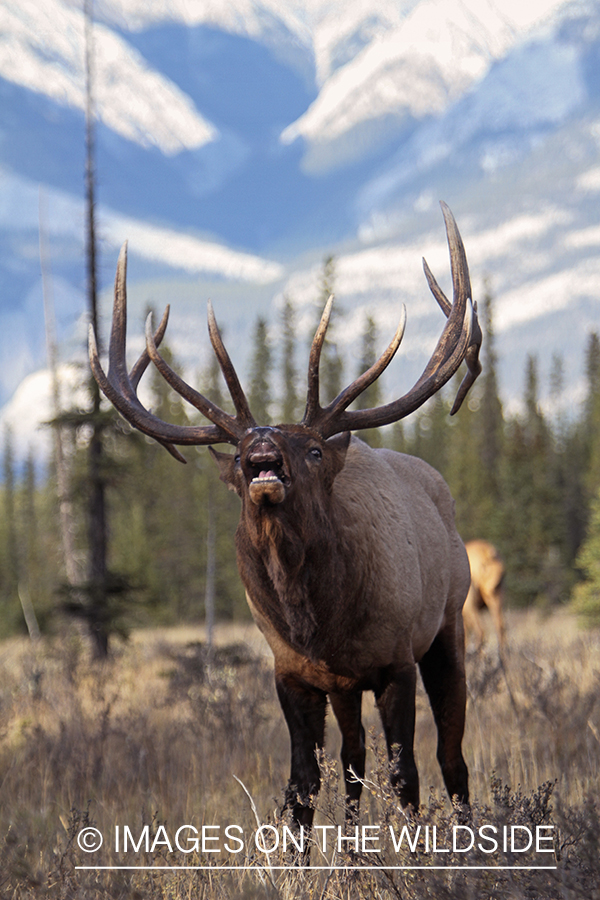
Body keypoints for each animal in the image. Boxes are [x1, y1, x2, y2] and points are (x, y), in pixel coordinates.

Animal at [89, 202, 482, 829]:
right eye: (239, 455)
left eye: (314, 449)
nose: (261, 449)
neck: (319, 622)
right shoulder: (294, 673)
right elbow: (302, 787)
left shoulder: (395, 660)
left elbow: (406, 778)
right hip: (349, 687)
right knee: (353, 761)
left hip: (449, 623)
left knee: (451, 756)